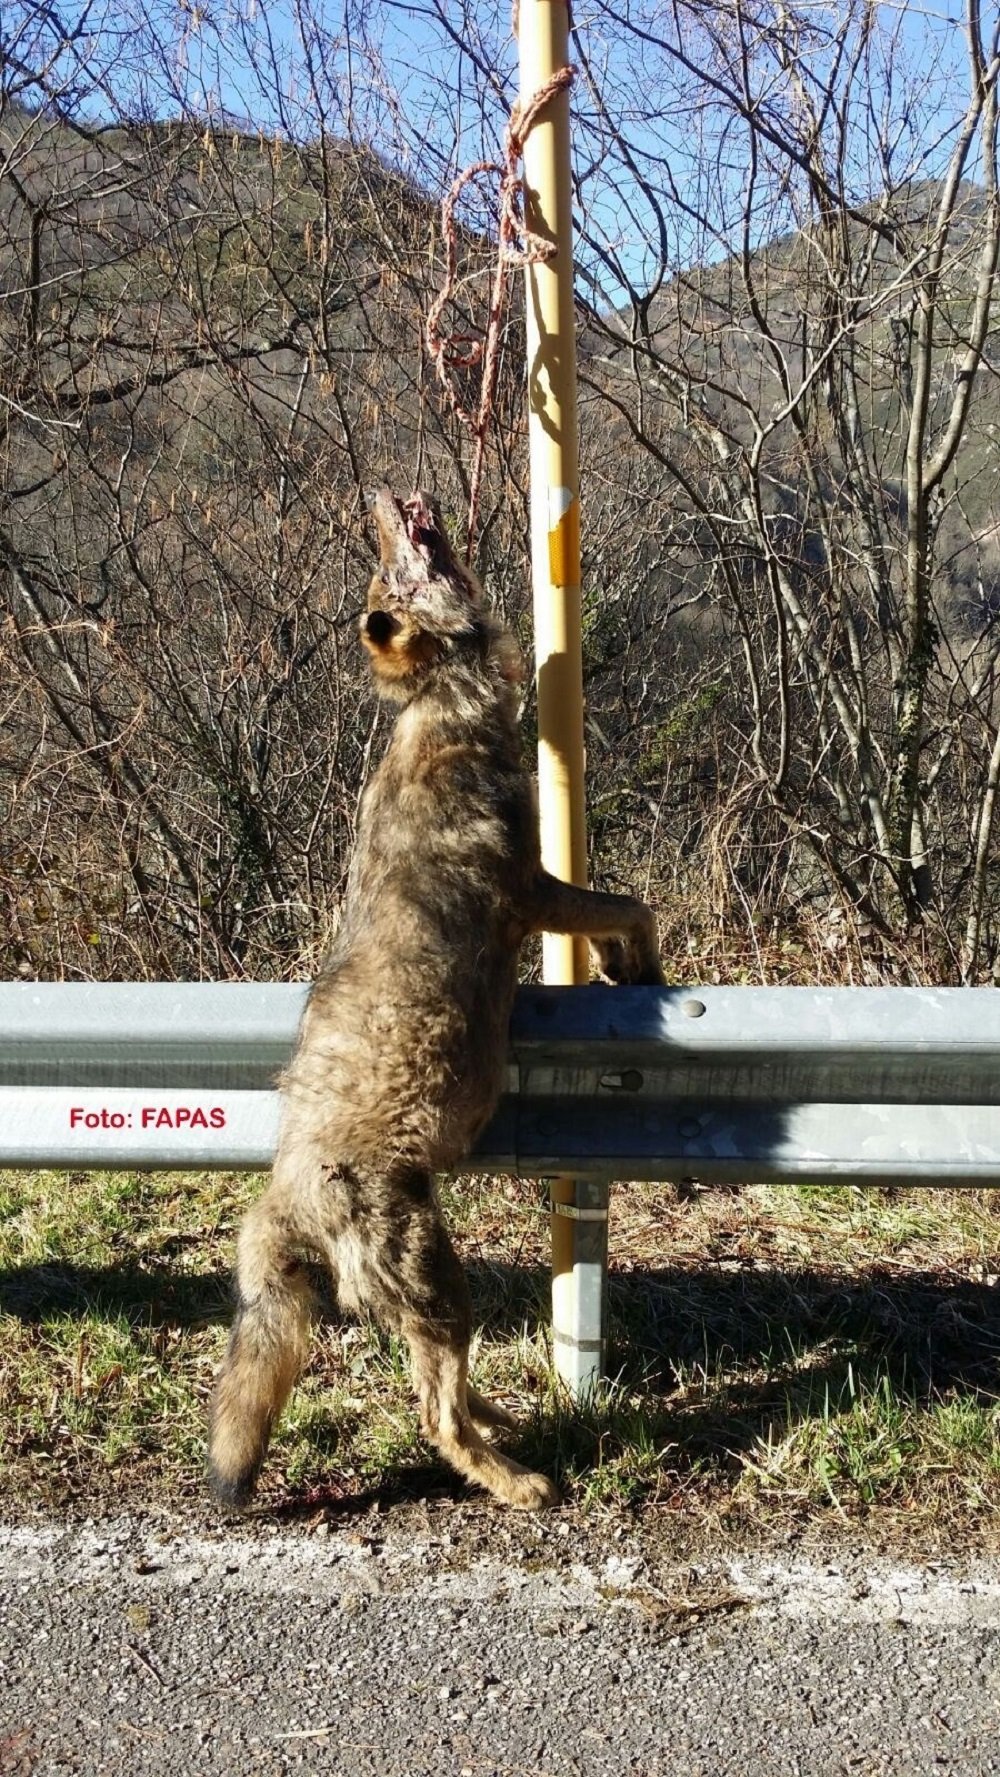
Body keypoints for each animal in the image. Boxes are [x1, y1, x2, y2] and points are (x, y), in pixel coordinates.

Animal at [208, 490, 664, 1514]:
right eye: (393, 572)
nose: (381, 499)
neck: (441, 708)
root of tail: (278, 1202)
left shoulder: (543, 890)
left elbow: (622, 914)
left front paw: (625, 972)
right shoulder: (536, 890)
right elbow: (633, 907)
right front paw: (645, 972)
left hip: (434, 1294)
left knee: (448, 1391)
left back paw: (506, 1424)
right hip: (440, 1285)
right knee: (437, 1414)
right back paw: (521, 1480)